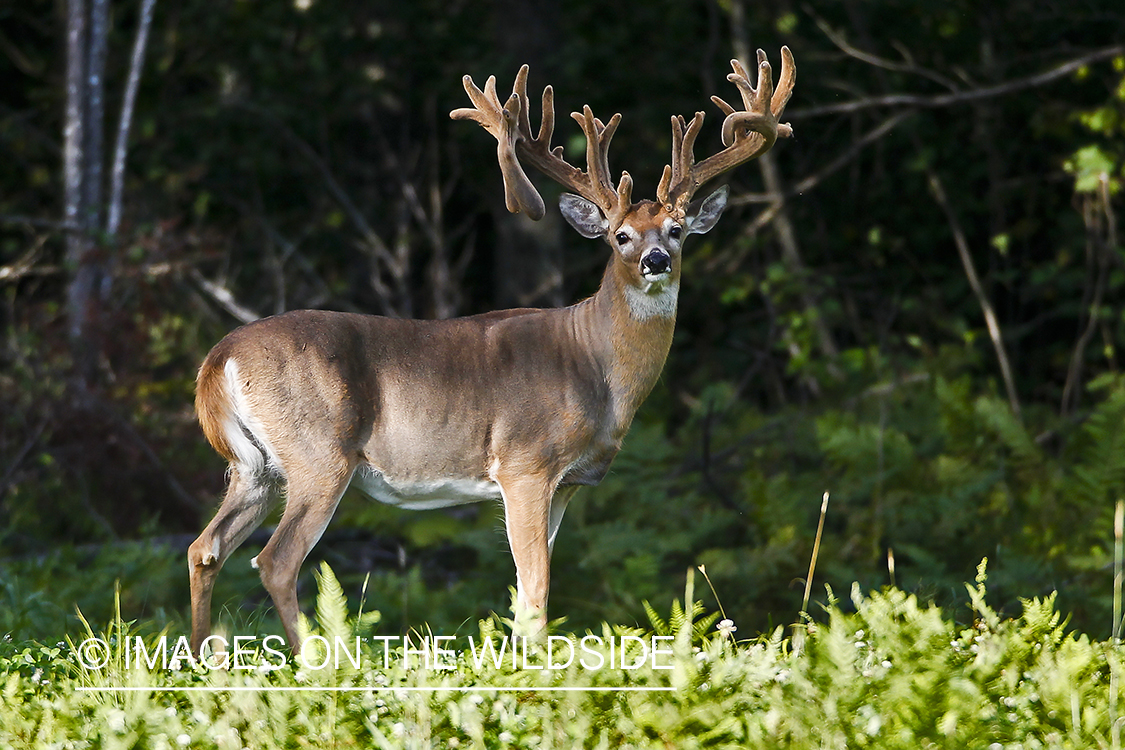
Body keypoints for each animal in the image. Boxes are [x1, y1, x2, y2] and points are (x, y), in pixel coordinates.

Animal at [189, 49, 796, 652]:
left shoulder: (566, 485)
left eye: (677, 230)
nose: (655, 261)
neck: (597, 367)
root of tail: (218, 360)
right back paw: (319, 660)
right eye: (620, 235)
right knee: (275, 560)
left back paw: (202, 659)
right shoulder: (526, 464)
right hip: (319, 452)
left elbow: (526, 596)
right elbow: (536, 593)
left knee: (205, 548)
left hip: (254, 468)